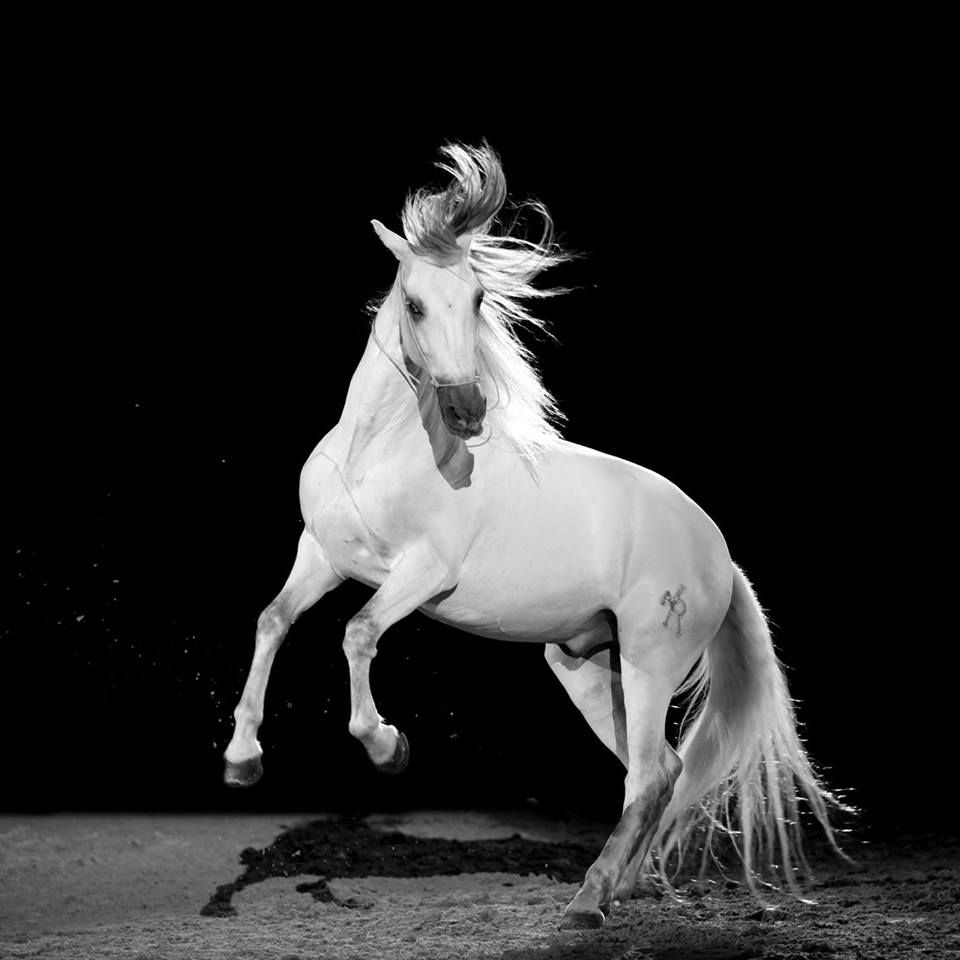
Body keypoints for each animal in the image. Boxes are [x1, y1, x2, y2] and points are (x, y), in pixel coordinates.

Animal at [222, 142, 845, 928]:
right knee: (659, 772)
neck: (379, 451)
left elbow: (358, 632)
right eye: (415, 303)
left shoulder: (423, 574)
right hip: (586, 665)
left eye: (478, 300)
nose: (466, 412)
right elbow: (273, 620)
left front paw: (387, 746)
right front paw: (242, 760)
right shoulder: (323, 556)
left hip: (650, 661)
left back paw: (587, 901)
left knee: (651, 776)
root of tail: (721, 554)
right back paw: (619, 888)